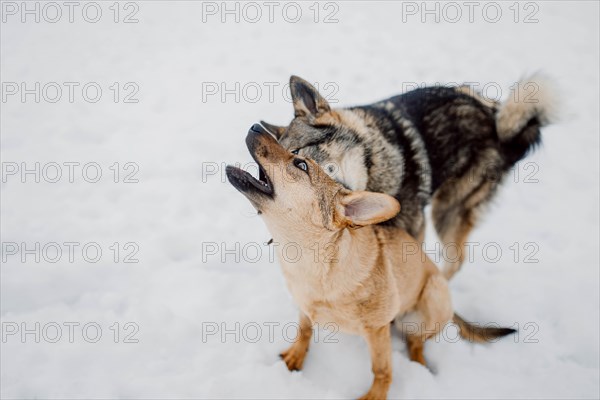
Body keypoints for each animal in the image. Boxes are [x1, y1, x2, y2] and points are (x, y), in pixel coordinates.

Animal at [226, 123, 516, 398]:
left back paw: (419, 364)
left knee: (416, 342)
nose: (255, 126)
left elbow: (382, 369)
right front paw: (296, 355)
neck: (311, 261)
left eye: (301, 164)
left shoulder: (376, 331)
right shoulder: (304, 307)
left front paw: (375, 395)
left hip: (433, 295)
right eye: (297, 156)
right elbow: (304, 331)